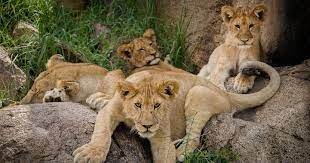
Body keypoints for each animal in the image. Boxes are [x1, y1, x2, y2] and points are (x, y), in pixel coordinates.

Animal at [73, 59, 280, 162]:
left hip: (197, 93)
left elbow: (166, 154)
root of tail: (225, 93)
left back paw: (180, 152)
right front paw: (90, 154)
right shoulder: (111, 111)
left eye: (157, 106)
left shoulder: (162, 137)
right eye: (137, 105)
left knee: (194, 138)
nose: (147, 126)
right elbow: (102, 134)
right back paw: (98, 99)